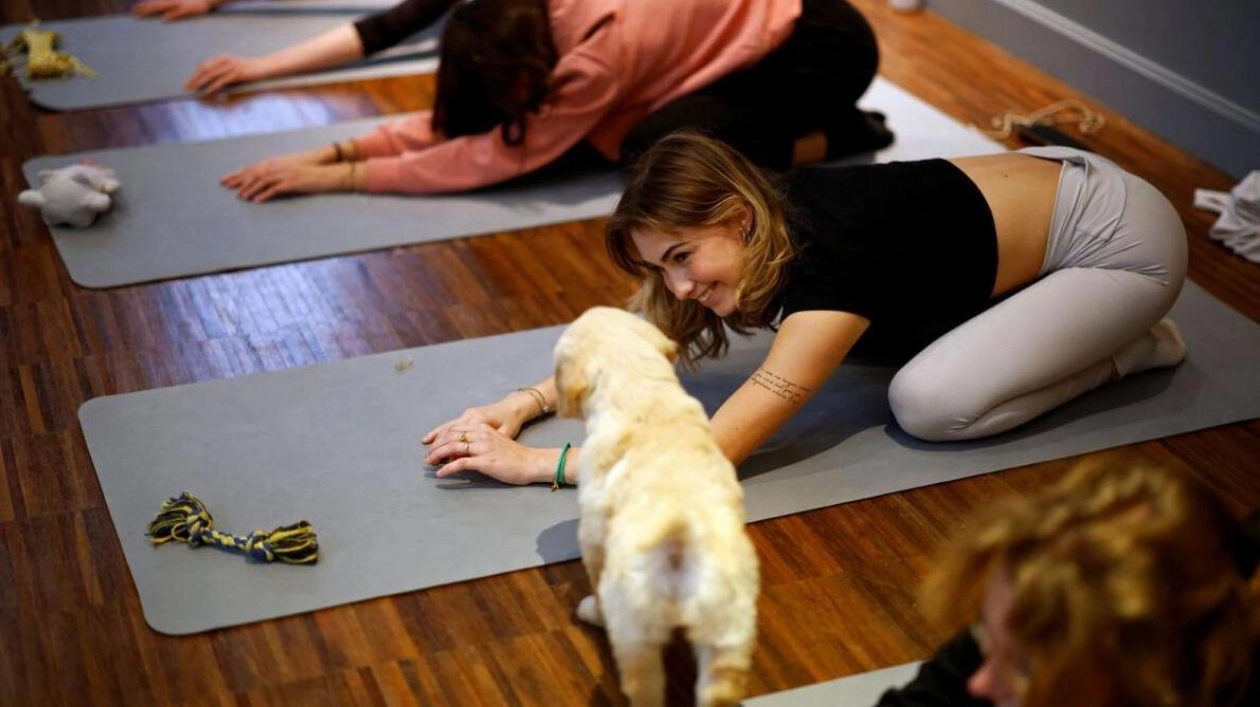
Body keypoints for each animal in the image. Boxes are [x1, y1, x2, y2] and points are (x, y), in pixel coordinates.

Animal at [556, 306, 761, 705]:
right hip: (727, 629)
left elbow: (592, 566)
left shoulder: (593, 534)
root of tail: (681, 531)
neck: (642, 393)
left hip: (635, 631)